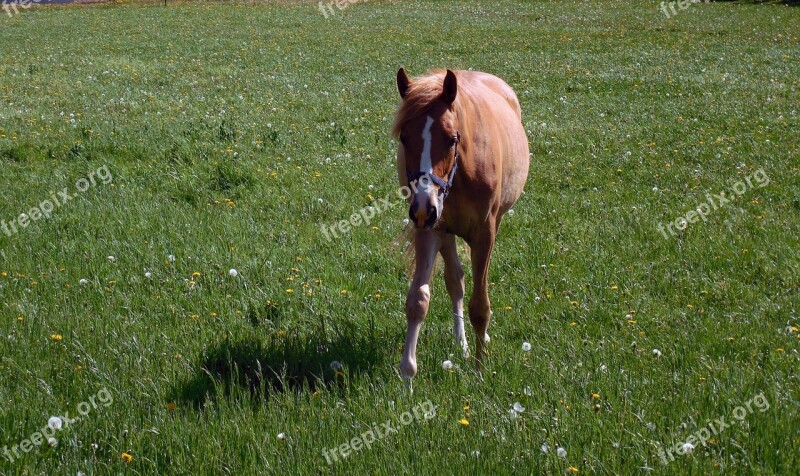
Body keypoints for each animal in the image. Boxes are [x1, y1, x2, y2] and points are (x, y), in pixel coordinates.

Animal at [394, 69, 532, 388]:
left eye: (451, 139)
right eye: (404, 137)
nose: (423, 207)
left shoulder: (484, 234)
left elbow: (479, 307)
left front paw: (480, 369)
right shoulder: (430, 229)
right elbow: (418, 301)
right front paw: (408, 376)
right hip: (442, 231)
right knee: (455, 280)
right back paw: (462, 345)